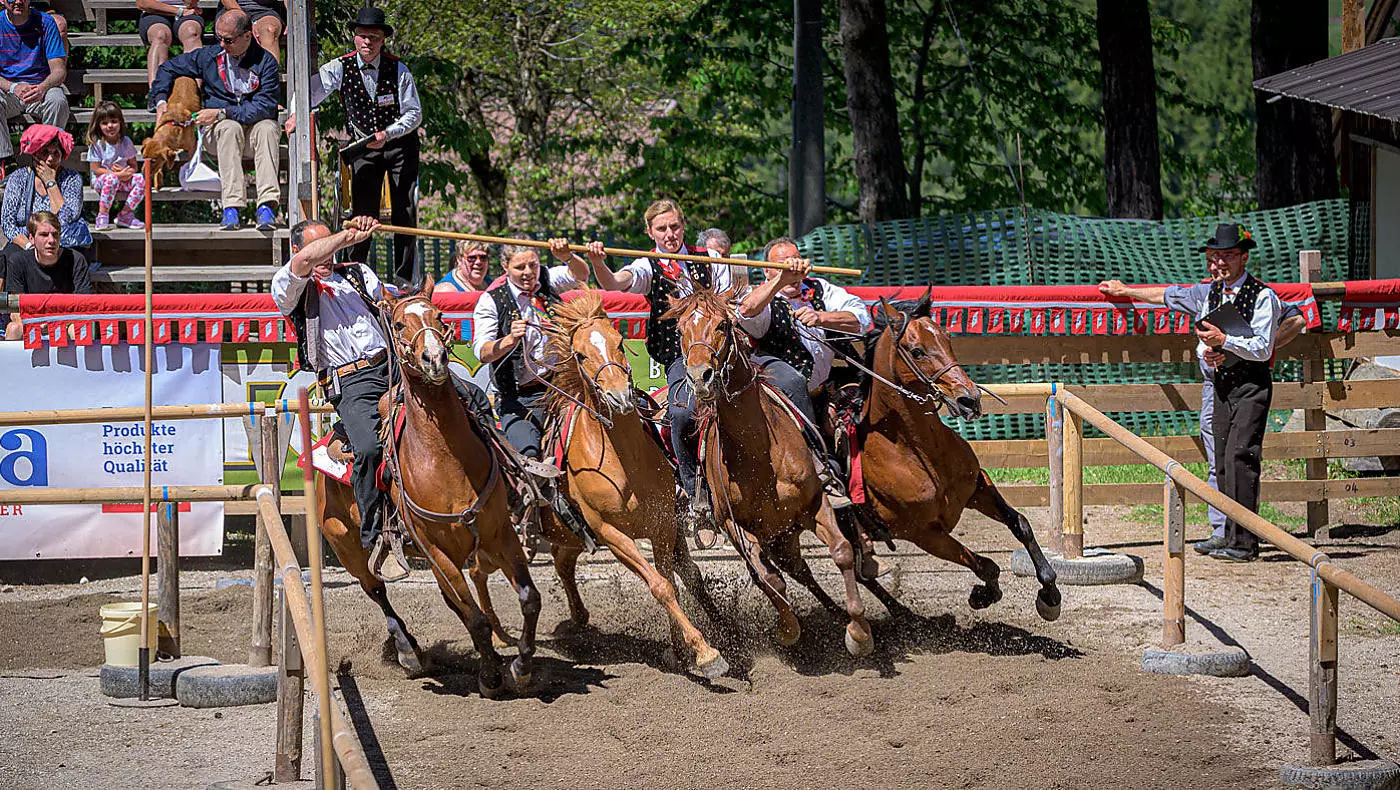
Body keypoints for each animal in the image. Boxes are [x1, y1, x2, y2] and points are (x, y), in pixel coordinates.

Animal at [314, 281, 542, 697]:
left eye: (439, 315)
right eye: (399, 324)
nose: (434, 358)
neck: (444, 460)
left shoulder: (500, 534)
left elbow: (528, 598)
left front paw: (521, 666)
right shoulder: (437, 550)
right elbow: (475, 617)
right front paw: (490, 677)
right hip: (347, 546)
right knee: (378, 592)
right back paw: (409, 653)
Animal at [470, 291, 730, 677]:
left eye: (620, 342)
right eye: (580, 354)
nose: (620, 396)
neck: (626, 465)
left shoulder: (664, 523)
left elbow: (682, 577)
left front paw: (697, 640)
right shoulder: (610, 533)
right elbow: (661, 586)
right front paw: (705, 653)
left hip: (570, 534)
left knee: (562, 562)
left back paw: (576, 618)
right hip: (497, 541)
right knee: (476, 571)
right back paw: (498, 636)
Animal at [665, 288, 874, 656]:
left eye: (723, 325)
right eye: (679, 331)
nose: (700, 377)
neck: (758, 452)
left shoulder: (814, 503)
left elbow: (841, 550)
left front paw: (859, 631)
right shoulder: (734, 526)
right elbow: (768, 579)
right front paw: (788, 628)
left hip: (785, 531)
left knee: (801, 568)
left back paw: (838, 613)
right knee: (783, 572)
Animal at [853, 291, 1062, 622]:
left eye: (948, 339)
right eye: (917, 351)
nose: (969, 400)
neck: (919, 450)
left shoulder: (978, 487)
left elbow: (1021, 525)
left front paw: (1050, 592)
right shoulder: (922, 533)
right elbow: (986, 565)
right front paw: (983, 594)